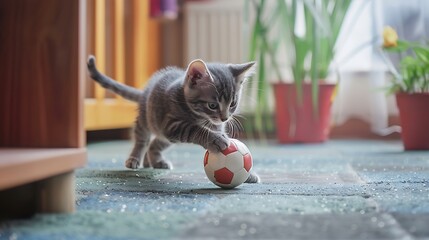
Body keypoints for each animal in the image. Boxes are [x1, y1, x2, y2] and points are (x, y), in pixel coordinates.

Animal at [88, 56, 258, 184]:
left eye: (233, 104)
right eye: (212, 105)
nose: (224, 118)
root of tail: (145, 91)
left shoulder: (207, 127)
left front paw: (248, 175)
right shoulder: (172, 124)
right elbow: (197, 129)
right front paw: (215, 139)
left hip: (167, 136)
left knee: (154, 144)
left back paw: (155, 161)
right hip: (148, 120)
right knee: (142, 139)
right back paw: (134, 159)